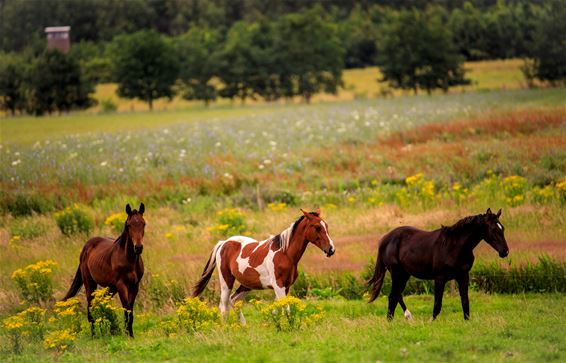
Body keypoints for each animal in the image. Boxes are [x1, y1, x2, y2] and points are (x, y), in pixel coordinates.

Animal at [61, 203, 145, 336]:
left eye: (143, 223)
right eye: (129, 225)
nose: (138, 247)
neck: (129, 259)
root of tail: (86, 247)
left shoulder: (135, 286)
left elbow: (130, 312)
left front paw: (130, 335)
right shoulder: (122, 285)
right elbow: (126, 309)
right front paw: (127, 335)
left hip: (110, 288)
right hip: (90, 283)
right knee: (90, 308)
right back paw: (94, 335)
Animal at [195, 210, 338, 324]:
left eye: (326, 226)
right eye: (317, 227)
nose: (331, 249)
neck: (285, 254)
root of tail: (223, 243)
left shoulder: (286, 286)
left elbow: (277, 309)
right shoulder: (278, 285)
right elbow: (286, 308)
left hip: (247, 285)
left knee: (234, 300)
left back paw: (244, 326)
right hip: (226, 281)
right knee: (224, 305)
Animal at [368, 209, 510, 320]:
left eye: (502, 228)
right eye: (493, 229)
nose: (505, 251)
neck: (455, 246)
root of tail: (385, 239)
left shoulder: (463, 276)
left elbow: (465, 301)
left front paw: (467, 322)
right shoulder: (440, 278)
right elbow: (437, 304)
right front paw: (431, 322)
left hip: (405, 275)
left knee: (393, 297)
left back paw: (390, 321)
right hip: (397, 273)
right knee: (395, 295)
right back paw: (407, 316)